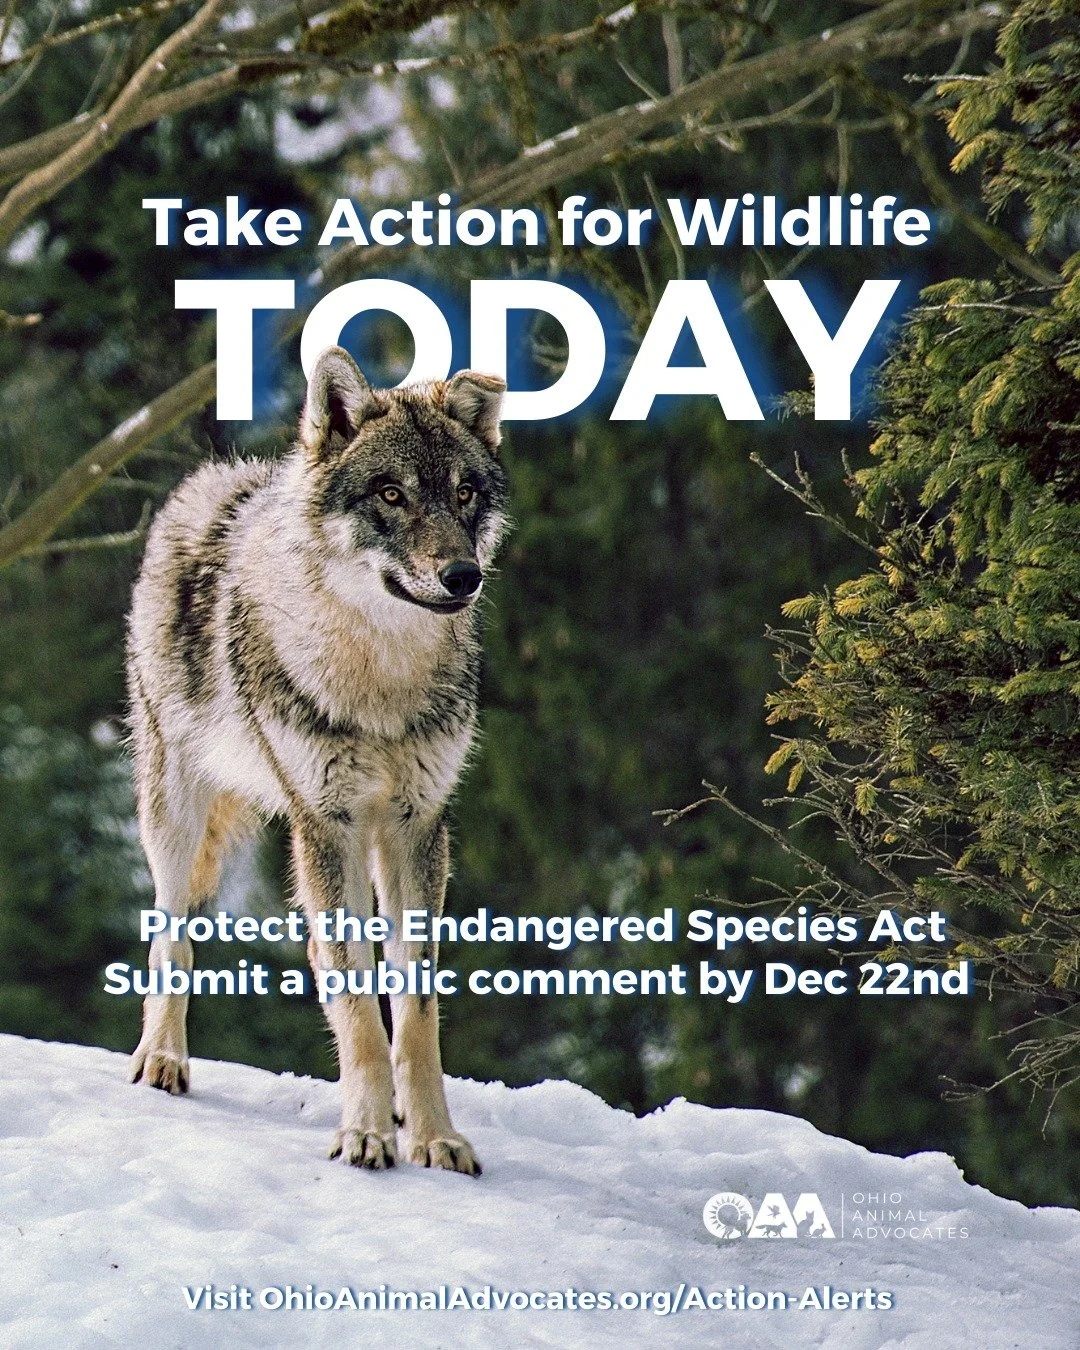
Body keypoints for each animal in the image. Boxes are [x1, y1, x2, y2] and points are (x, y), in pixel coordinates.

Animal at [125, 346, 509, 1176]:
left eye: (464, 493)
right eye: (391, 494)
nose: (464, 576)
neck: (380, 676)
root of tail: (207, 482)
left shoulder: (416, 828)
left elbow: (414, 1008)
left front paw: (432, 1135)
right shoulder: (323, 825)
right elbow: (356, 1002)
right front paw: (364, 1135)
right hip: (176, 818)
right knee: (173, 932)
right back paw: (161, 1060)